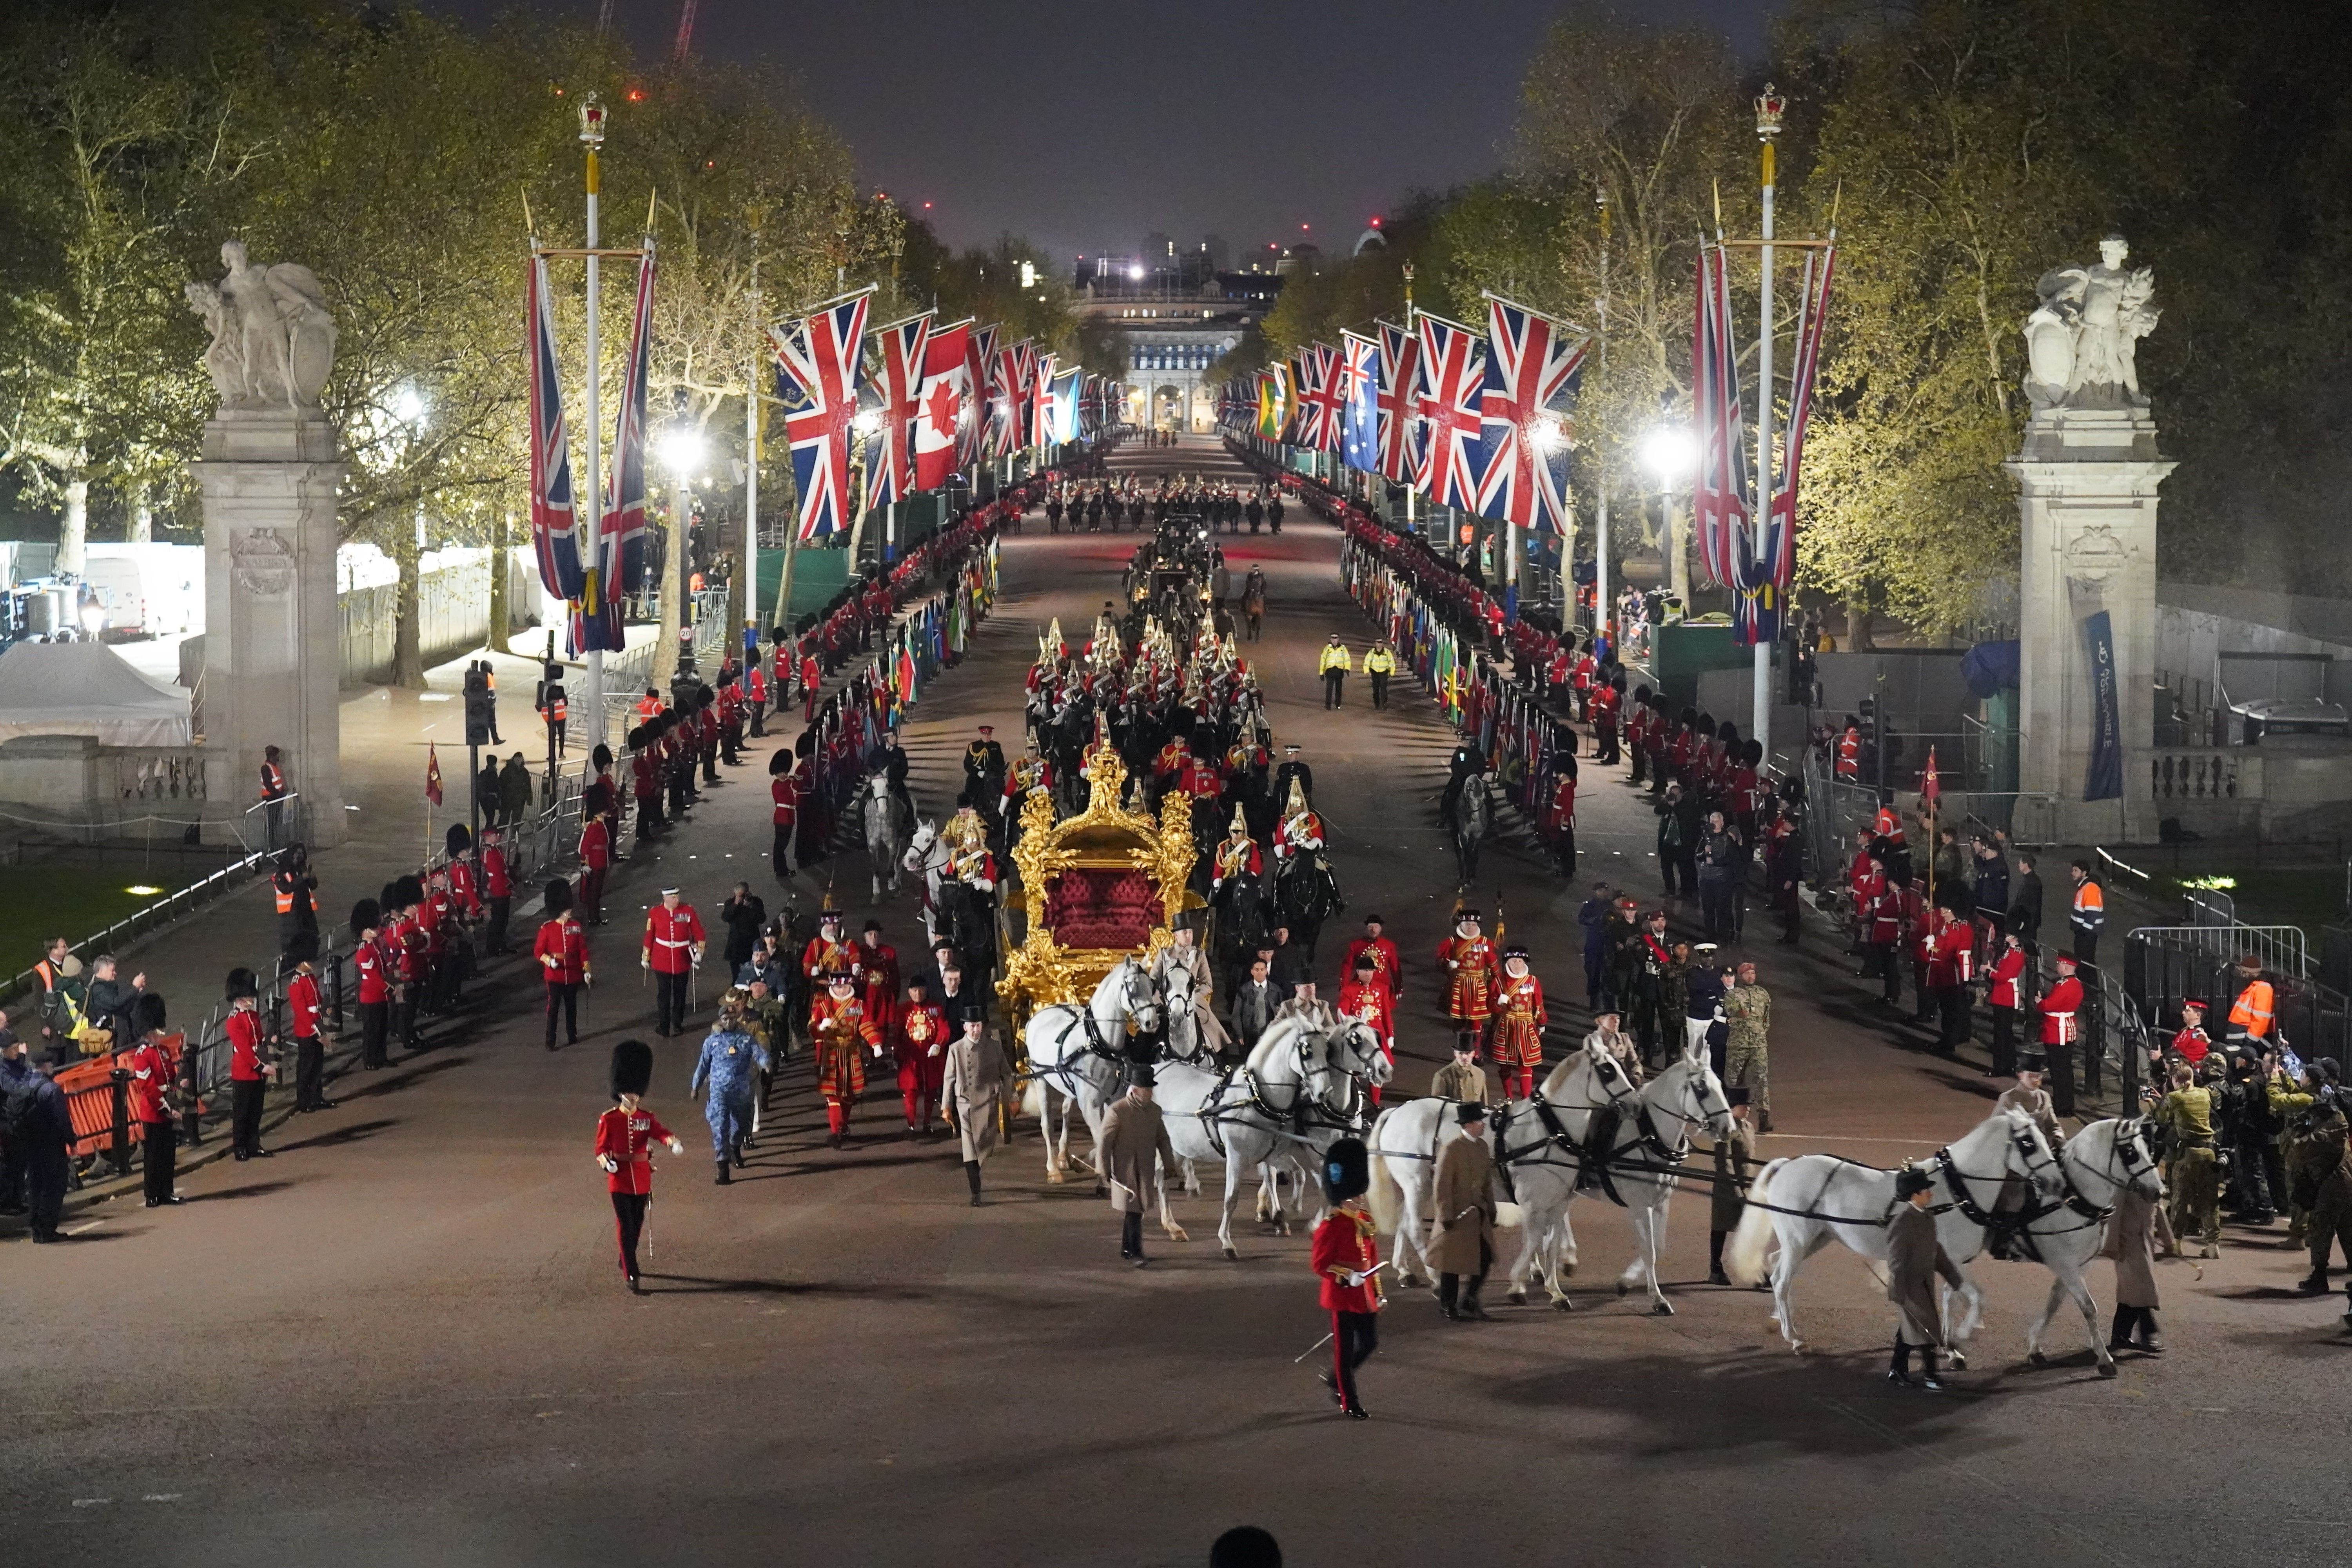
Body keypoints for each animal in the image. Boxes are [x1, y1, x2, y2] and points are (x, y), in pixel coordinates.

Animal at [856, 776, 908, 902]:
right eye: (873, 786)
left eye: (887, 785)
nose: (882, 809)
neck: (881, 818)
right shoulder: (872, 845)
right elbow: (875, 868)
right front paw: (876, 891)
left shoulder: (893, 844)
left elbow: (890, 867)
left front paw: (891, 886)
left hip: (903, 839)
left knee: (898, 862)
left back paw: (897, 881)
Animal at [1016, 959, 1162, 1189]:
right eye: (1133, 988)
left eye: (1153, 987)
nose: (1152, 1023)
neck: (1100, 1044)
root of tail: (1039, 1014)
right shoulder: (1090, 1105)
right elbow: (1099, 1135)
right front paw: (1102, 1175)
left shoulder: (1113, 1100)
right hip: (1040, 1080)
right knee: (1047, 1124)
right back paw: (1053, 1169)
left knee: (1066, 1111)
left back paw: (1064, 1157)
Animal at [1148, 1011, 1383, 1260]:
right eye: (1307, 1050)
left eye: (1327, 1049)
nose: (1323, 1092)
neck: (1256, 1099)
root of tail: (1157, 1068)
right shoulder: (1238, 1157)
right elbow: (1232, 1199)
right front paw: (1227, 1242)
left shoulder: (1276, 1153)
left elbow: (1286, 1177)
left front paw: (1285, 1215)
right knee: (1161, 1179)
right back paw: (1173, 1223)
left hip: (1178, 1146)